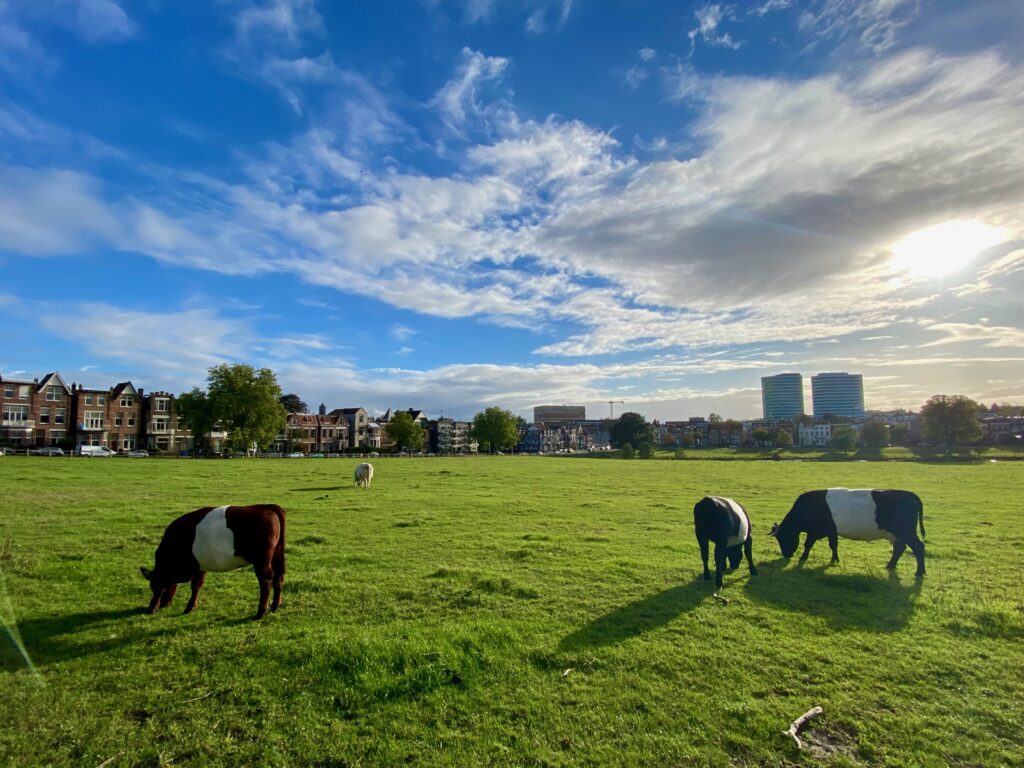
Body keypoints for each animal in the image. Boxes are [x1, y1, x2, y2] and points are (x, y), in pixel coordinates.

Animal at [140, 504, 286, 619]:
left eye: (159, 587)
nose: (151, 609)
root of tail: (268, 507)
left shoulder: (196, 566)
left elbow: (194, 585)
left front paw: (188, 608)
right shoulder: (201, 566)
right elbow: (198, 585)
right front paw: (191, 607)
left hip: (262, 561)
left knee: (266, 581)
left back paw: (260, 612)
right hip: (276, 556)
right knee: (278, 577)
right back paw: (275, 606)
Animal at [769, 489, 925, 577]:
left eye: (782, 538)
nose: (786, 555)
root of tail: (908, 494)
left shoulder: (814, 531)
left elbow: (808, 544)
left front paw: (802, 558)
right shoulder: (831, 531)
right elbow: (833, 545)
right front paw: (834, 560)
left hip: (905, 532)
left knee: (918, 547)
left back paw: (919, 572)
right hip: (898, 534)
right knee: (900, 548)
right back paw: (889, 566)